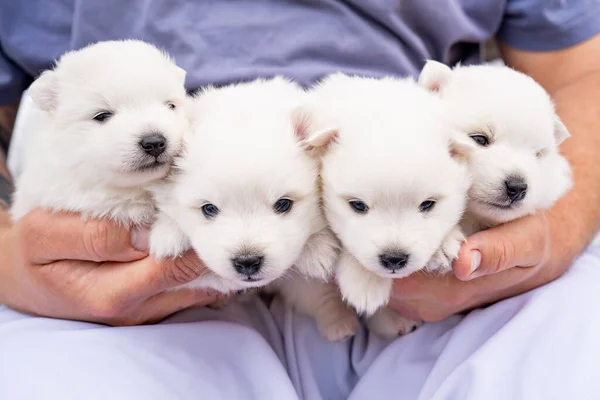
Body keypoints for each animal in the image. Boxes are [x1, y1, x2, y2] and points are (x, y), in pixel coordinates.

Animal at [292, 72, 472, 338]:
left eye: (428, 205)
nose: (394, 259)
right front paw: (364, 282)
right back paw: (339, 322)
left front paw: (444, 245)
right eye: (358, 206)